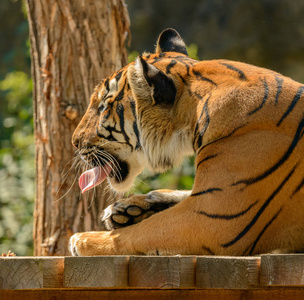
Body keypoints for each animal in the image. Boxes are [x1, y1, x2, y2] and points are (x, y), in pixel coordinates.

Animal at [70, 27, 304, 255]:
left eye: (103, 107)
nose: (74, 142)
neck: (195, 112)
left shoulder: (213, 217)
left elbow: (146, 230)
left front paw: (83, 240)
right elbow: (177, 195)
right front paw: (126, 209)